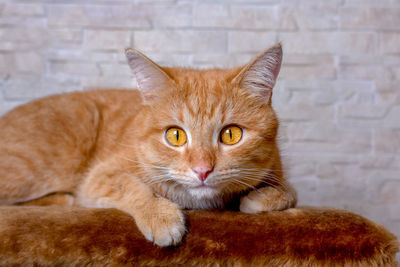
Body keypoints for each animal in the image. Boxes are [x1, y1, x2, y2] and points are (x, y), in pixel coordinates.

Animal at [0, 44, 296, 247]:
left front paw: (259, 198)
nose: (202, 170)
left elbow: (289, 193)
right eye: (175, 136)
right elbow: (133, 188)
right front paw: (160, 215)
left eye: (231, 134)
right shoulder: (100, 177)